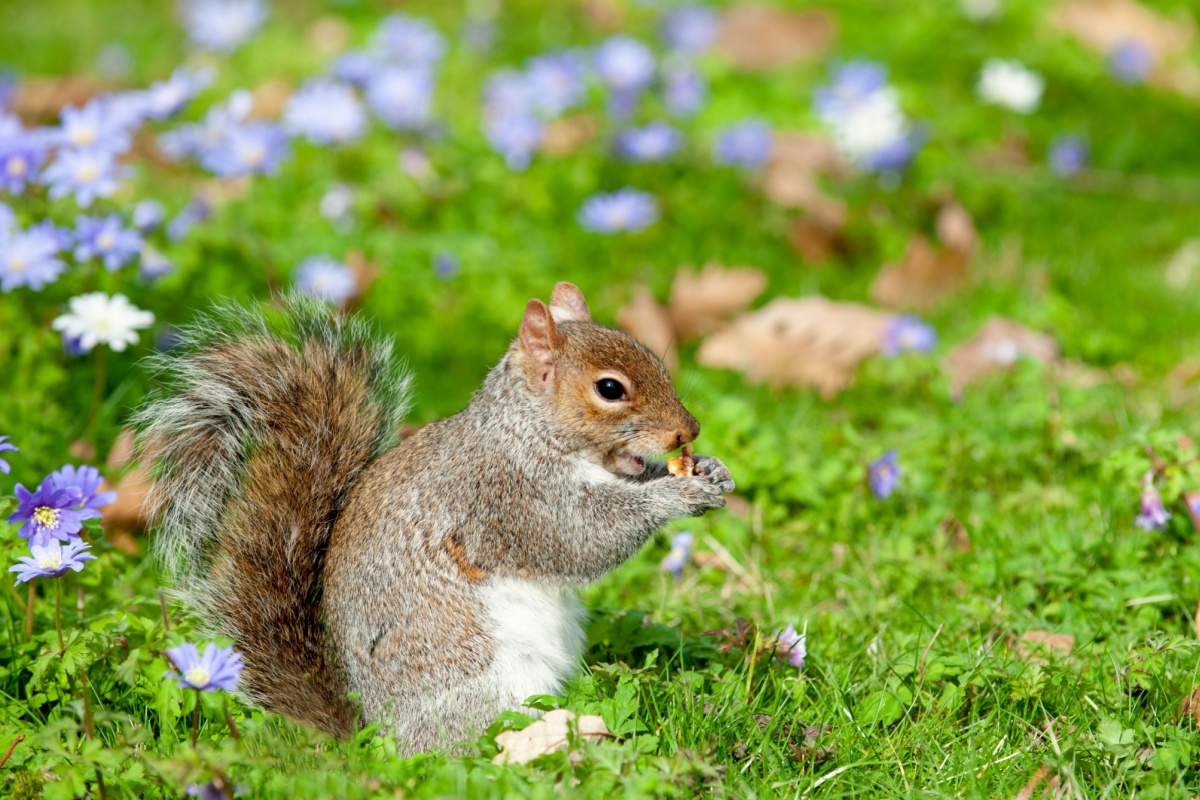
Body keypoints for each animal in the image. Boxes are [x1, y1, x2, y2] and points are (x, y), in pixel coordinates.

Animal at [131, 284, 729, 753]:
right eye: (609, 389)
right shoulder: (507, 496)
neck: (526, 431)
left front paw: (709, 470)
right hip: (480, 682)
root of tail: (374, 734)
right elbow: (581, 539)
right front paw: (677, 494)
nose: (689, 430)